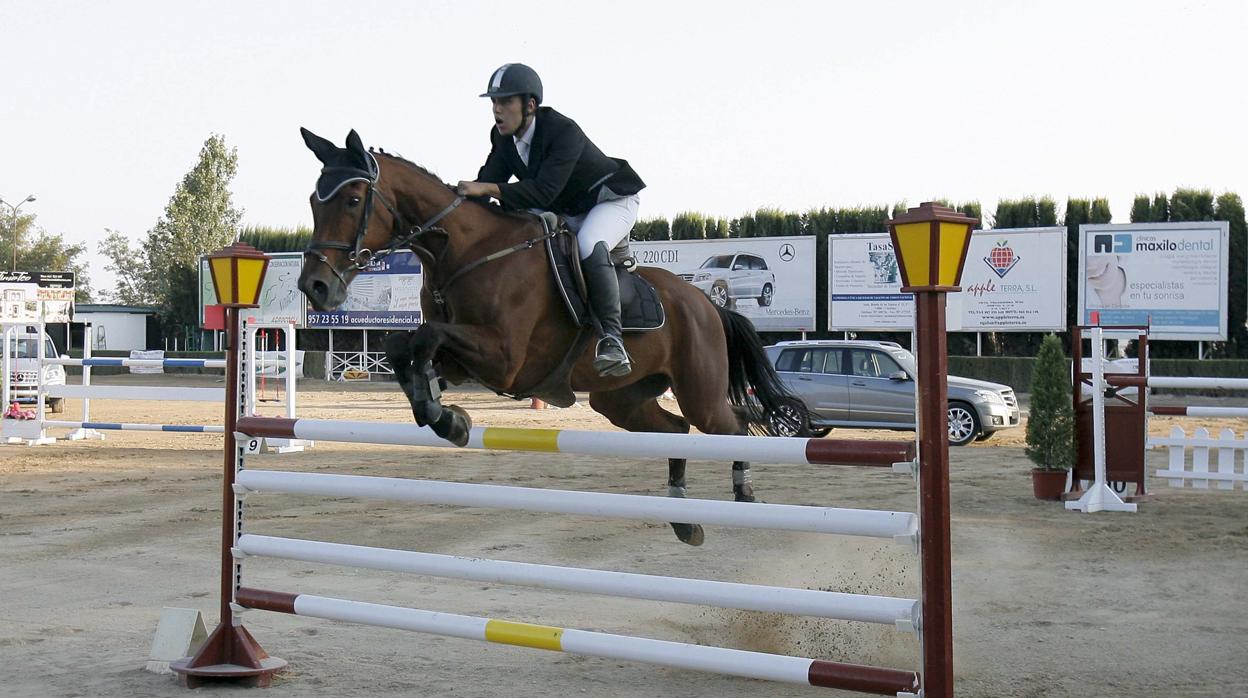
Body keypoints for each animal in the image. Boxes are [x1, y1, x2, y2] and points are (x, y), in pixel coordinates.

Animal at [294, 129, 808, 546]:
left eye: (352, 200)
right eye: (314, 203)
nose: (314, 286)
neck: (463, 251)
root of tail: (706, 304)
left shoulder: (504, 359)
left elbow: (424, 337)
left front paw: (446, 417)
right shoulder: (465, 359)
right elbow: (406, 347)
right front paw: (443, 413)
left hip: (699, 388)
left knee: (734, 424)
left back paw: (744, 495)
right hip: (620, 400)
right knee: (676, 431)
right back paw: (684, 519)